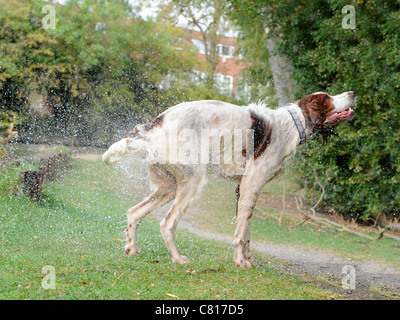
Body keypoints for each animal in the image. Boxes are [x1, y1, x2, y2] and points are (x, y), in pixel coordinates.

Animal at [103, 92, 356, 268]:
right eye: (328, 98)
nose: (352, 93)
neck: (291, 126)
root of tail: (155, 126)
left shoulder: (241, 189)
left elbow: (246, 233)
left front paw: (248, 260)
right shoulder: (252, 184)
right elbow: (240, 233)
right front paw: (241, 262)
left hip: (169, 187)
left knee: (134, 212)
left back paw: (132, 248)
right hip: (192, 182)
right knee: (167, 223)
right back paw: (177, 258)